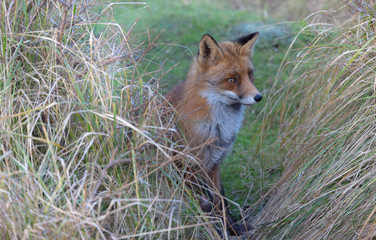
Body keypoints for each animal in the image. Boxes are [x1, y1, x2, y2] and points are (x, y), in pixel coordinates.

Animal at [166, 32, 260, 236]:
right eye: (232, 80)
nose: (258, 97)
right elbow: (205, 205)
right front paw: (214, 231)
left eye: (250, 74)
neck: (217, 128)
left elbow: (221, 201)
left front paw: (233, 229)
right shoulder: (187, 167)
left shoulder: (213, 164)